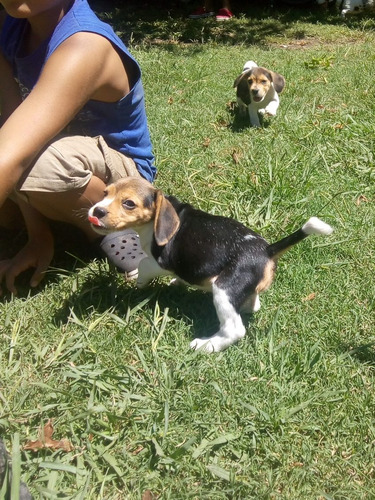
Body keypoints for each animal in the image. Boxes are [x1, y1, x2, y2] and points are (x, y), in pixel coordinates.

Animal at [89, 178, 334, 354]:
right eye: (105, 193)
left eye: (129, 203)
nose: (96, 211)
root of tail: (267, 250)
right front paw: (177, 282)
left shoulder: (161, 262)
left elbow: (143, 263)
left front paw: (139, 283)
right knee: (252, 305)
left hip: (224, 289)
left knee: (234, 329)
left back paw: (206, 345)